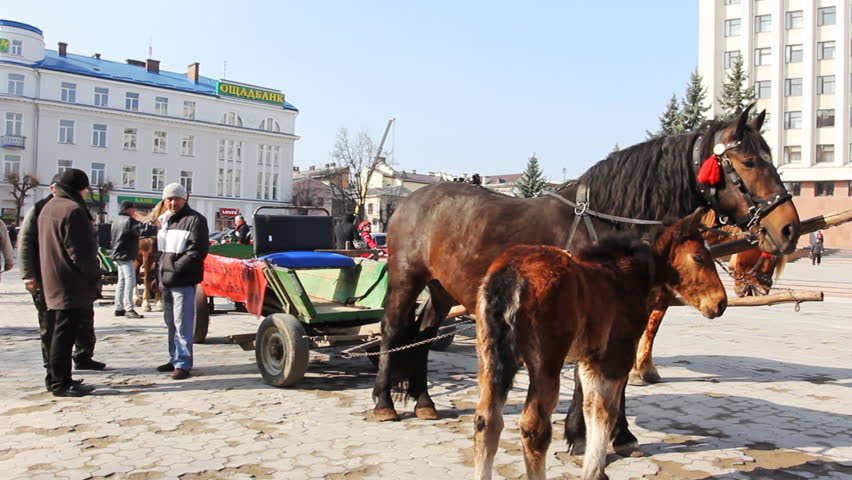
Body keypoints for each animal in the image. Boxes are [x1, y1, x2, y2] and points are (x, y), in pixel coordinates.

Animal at [473, 209, 726, 480]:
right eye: (699, 257)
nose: (721, 302)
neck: (625, 275)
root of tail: (511, 275)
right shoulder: (617, 356)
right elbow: (606, 412)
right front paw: (596, 469)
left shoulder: (589, 360)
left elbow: (589, 406)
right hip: (546, 363)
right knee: (534, 428)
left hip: (490, 357)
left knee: (486, 422)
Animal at [628, 209, 788, 386]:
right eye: (771, 255)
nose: (765, 289)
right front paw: (634, 372)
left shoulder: (663, 292)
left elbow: (652, 328)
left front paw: (646, 368)